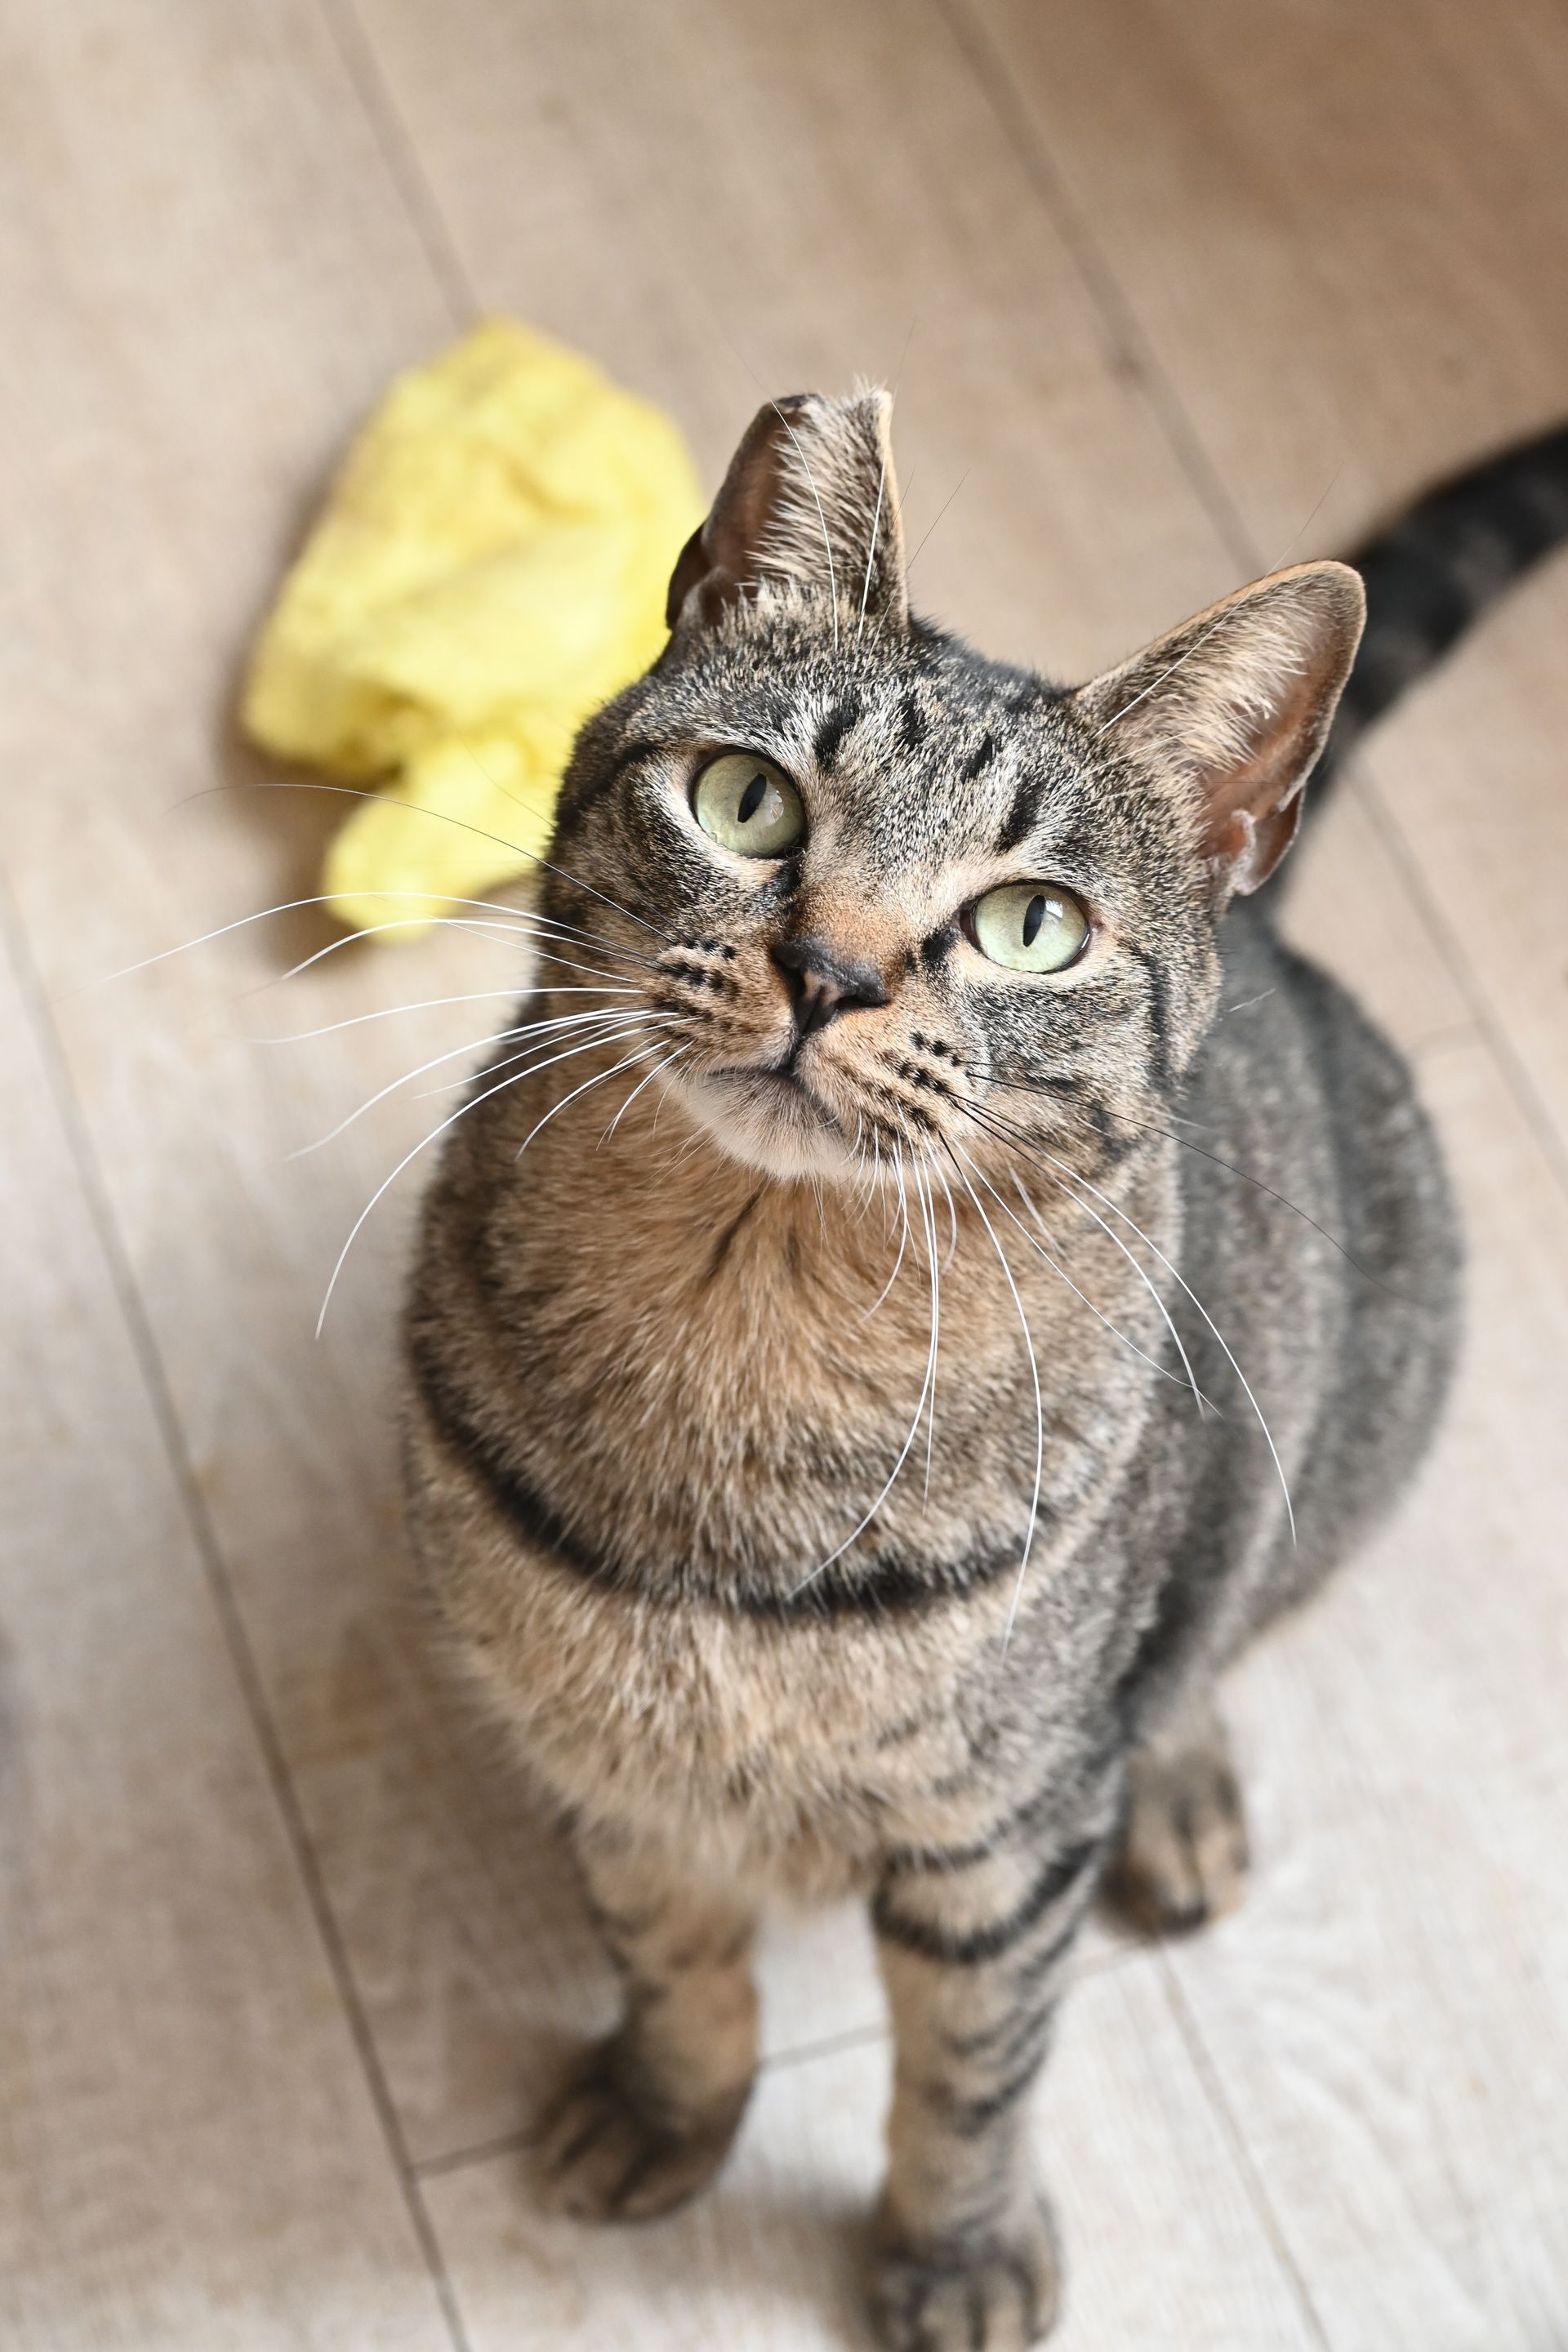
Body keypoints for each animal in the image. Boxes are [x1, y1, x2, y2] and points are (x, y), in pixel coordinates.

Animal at [408, 394, 1568, 2342]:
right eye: (747, 802)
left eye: (1032, 923)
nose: (829, 969)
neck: (753, 1320)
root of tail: (1268, 922)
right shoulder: (605, 1759)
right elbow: (674, 1959)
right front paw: (670, 2107)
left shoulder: (1002, 1838)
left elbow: (971, 2071)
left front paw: (954, 2251)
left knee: (1205, 1642)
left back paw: (1179, 1786)